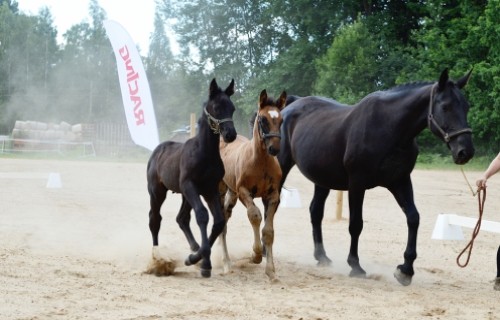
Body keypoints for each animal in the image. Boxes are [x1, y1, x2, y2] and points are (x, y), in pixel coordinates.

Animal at [146, 78, 237, 278]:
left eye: (232, 108)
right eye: (217, 107)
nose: (230, 134)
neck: (205, 153)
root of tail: (157, 150)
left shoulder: (210, 189)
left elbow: (218, 222)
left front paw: (200, 260)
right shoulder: (190, 185)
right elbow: (202, 215)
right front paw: (201, 261)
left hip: (184, 195)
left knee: (181, 218)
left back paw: (194, 249)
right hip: (158, 192)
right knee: (155, 219)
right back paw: (157, 258)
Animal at [280, 68, 474, 284]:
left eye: (466, 106)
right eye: (446, 107)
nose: (465, 151)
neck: (390, 128)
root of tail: (291, 105)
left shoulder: (400, 181)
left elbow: (413, 218)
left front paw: (406, 269)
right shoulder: (357, 184)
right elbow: (356, 224)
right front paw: (355, 266)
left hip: (322, 179)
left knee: (315, 212)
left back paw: (322, 257)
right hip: (281, 164)